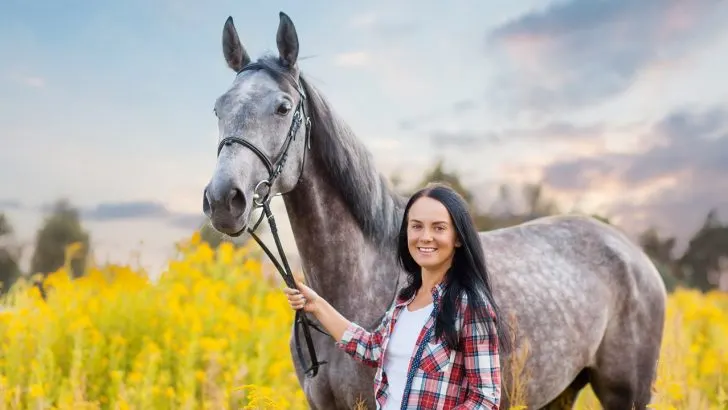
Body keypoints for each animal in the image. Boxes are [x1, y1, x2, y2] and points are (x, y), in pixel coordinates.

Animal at [202, 12, 667, 410]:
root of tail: (633, 254)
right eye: (218, 107)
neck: (363, 280)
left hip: (624, 391)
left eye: (283, 107)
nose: (224, 199)